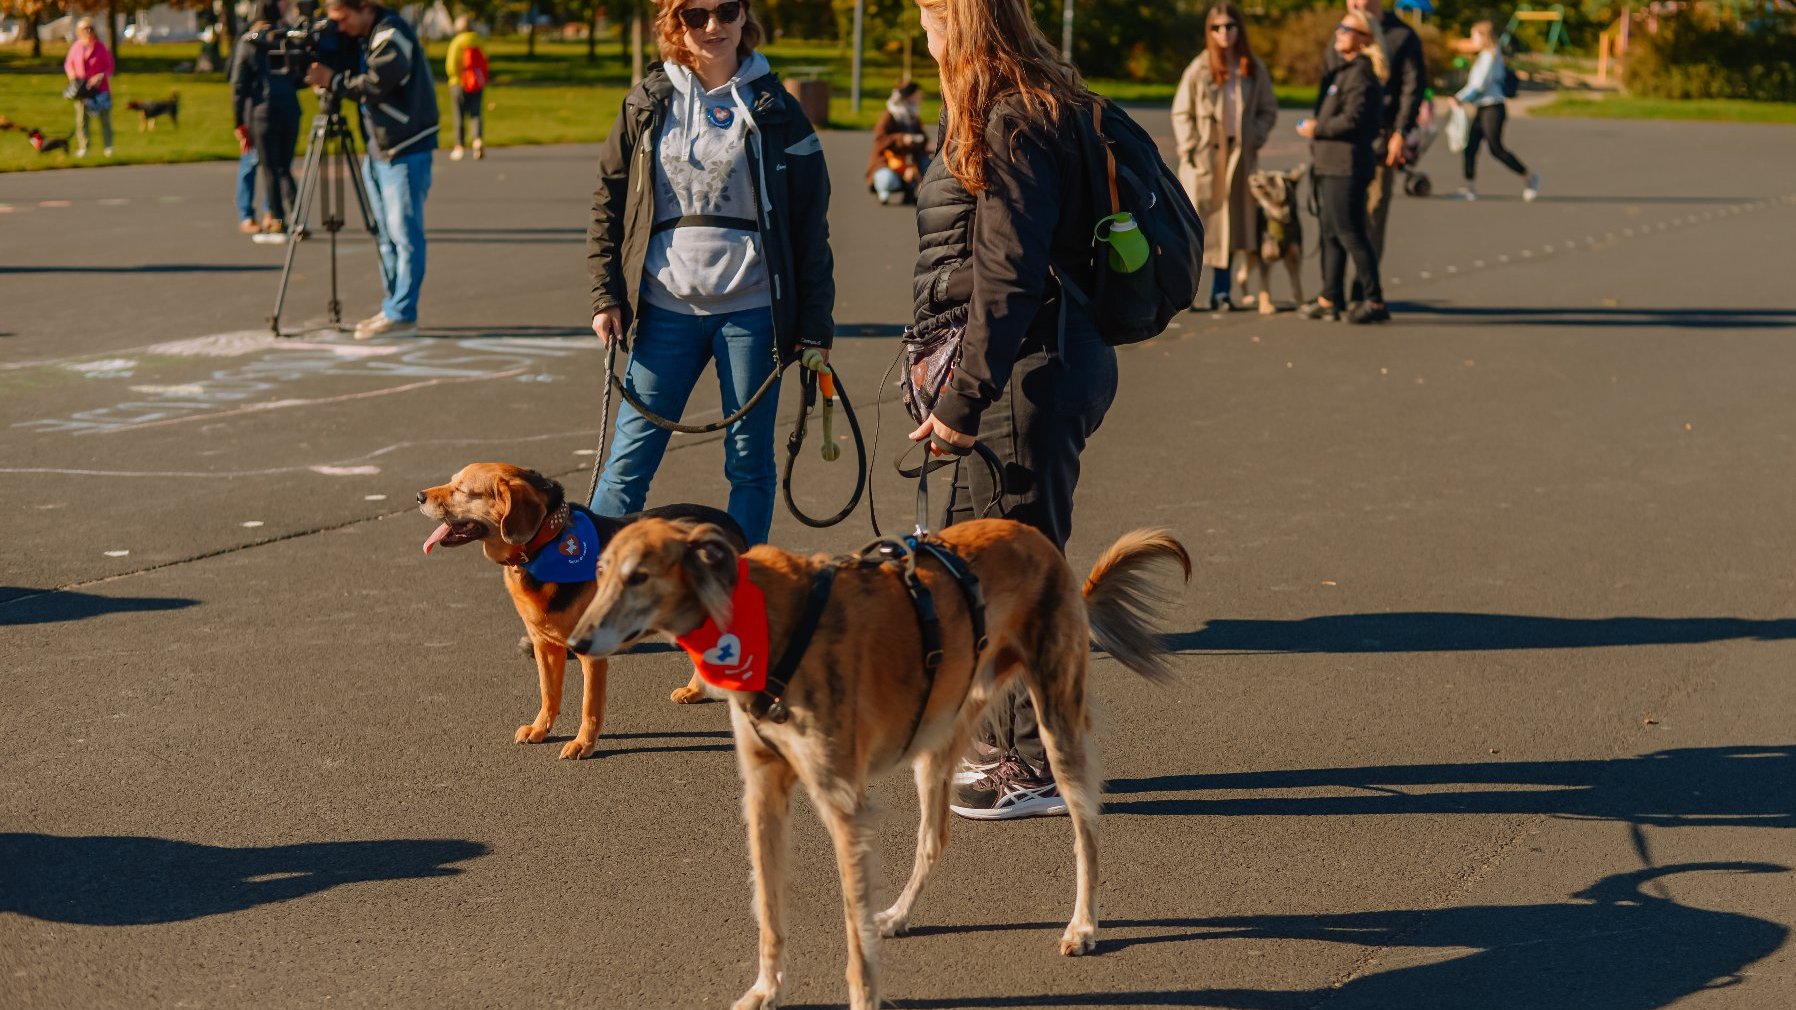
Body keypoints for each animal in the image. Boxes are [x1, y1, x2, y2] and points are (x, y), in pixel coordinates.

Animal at [418, 463, 743, 754]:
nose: (419, 496)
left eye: (462, 490)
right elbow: (548, 693)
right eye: (452, 481)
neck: (544, 545)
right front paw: (540, 730)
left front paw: (583, 744)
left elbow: (590, 706)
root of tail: (729, 523)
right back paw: (696, 690)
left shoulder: (591, 652)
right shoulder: (545, 645)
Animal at [567, 517, 1199, 1006]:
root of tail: (1039, 540)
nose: (574, 644)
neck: (760, 621)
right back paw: (896, 913)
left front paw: (863, 996)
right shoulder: (764, 793)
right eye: (599, 573)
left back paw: (1083, 925)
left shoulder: (844, 805)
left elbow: (852, 932)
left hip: (1057, 721)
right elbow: (769, 908)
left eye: (639, 575)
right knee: (935, 836)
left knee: (1085, 827)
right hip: (937, 738)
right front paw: (766, 990)